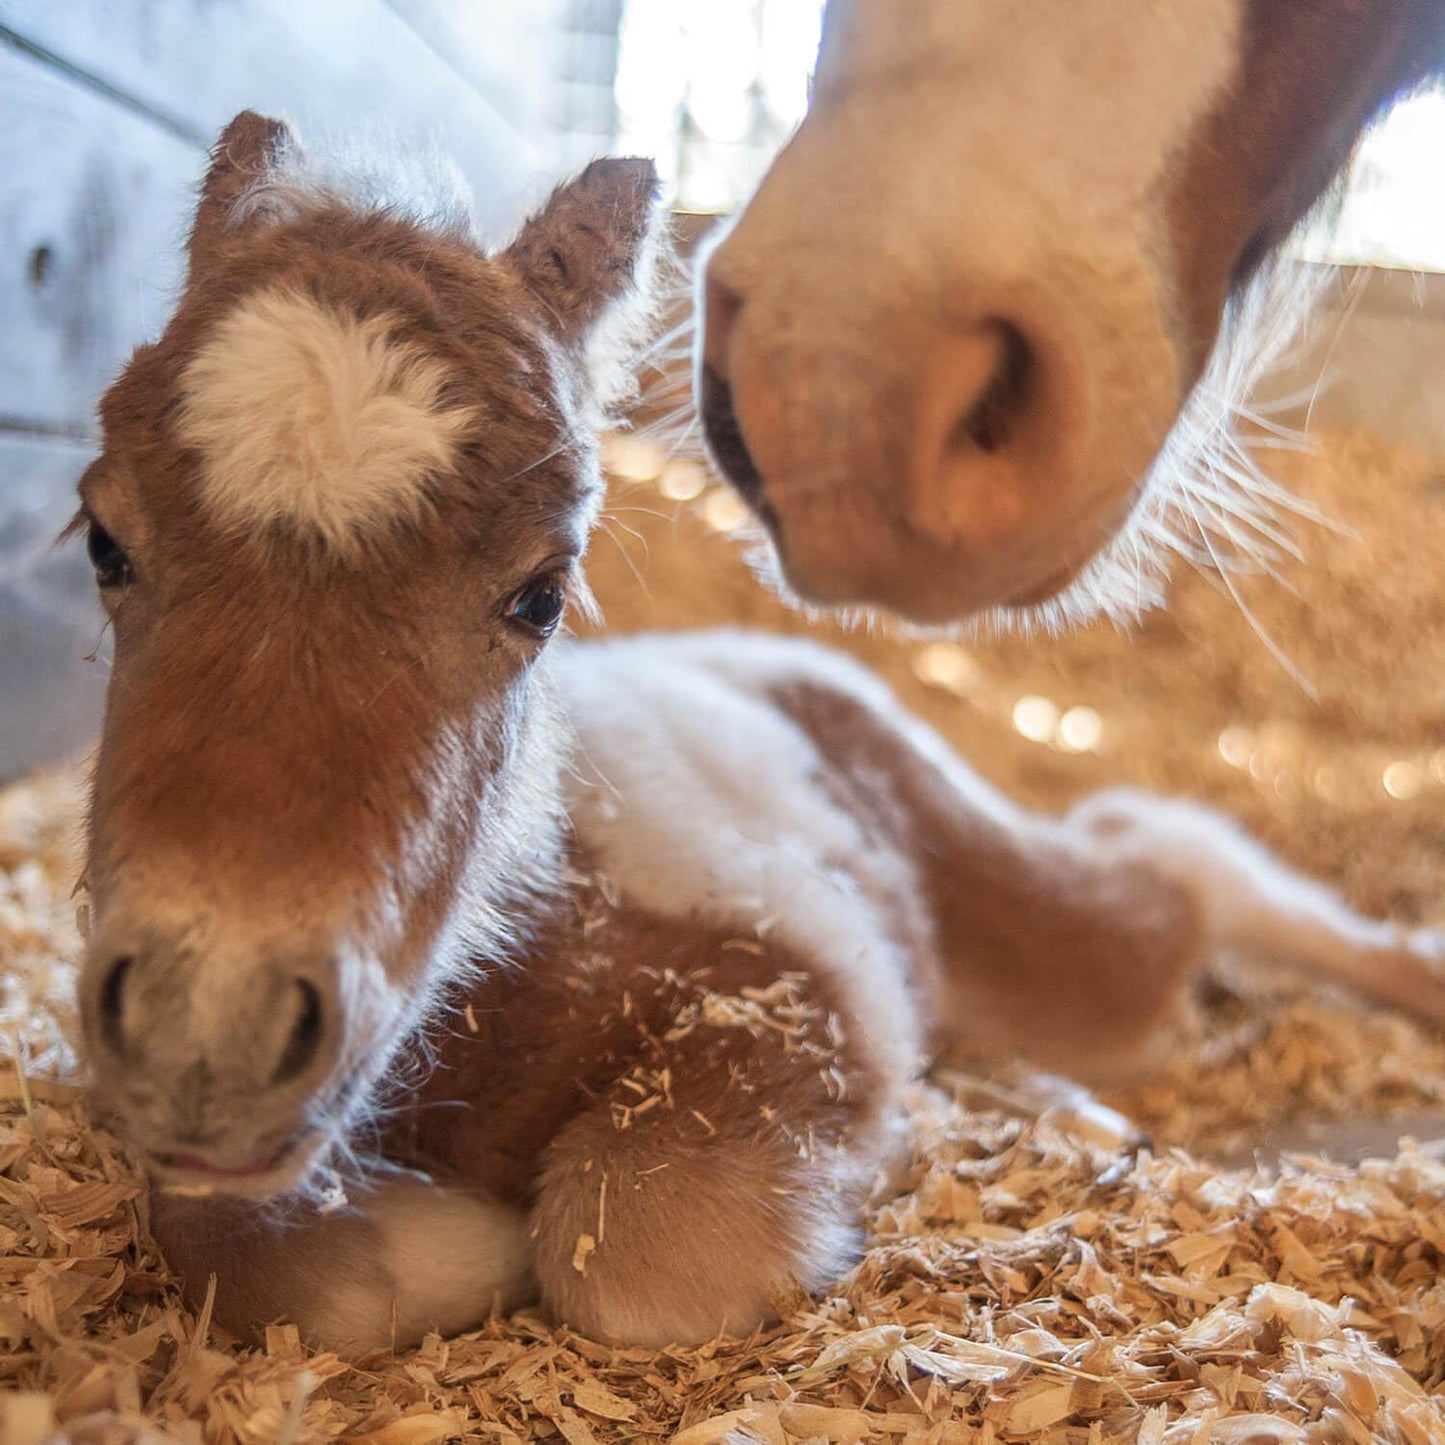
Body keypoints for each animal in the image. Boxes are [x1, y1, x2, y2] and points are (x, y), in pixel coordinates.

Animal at [75, 111, 1445, 1355]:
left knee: (1170, 873)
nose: (207, 1039)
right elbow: (256, 1255)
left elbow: (640, 1249)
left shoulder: (798, 972)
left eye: (538, 594)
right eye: (103, 541)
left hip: (1043, 934)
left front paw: (496, 1239)